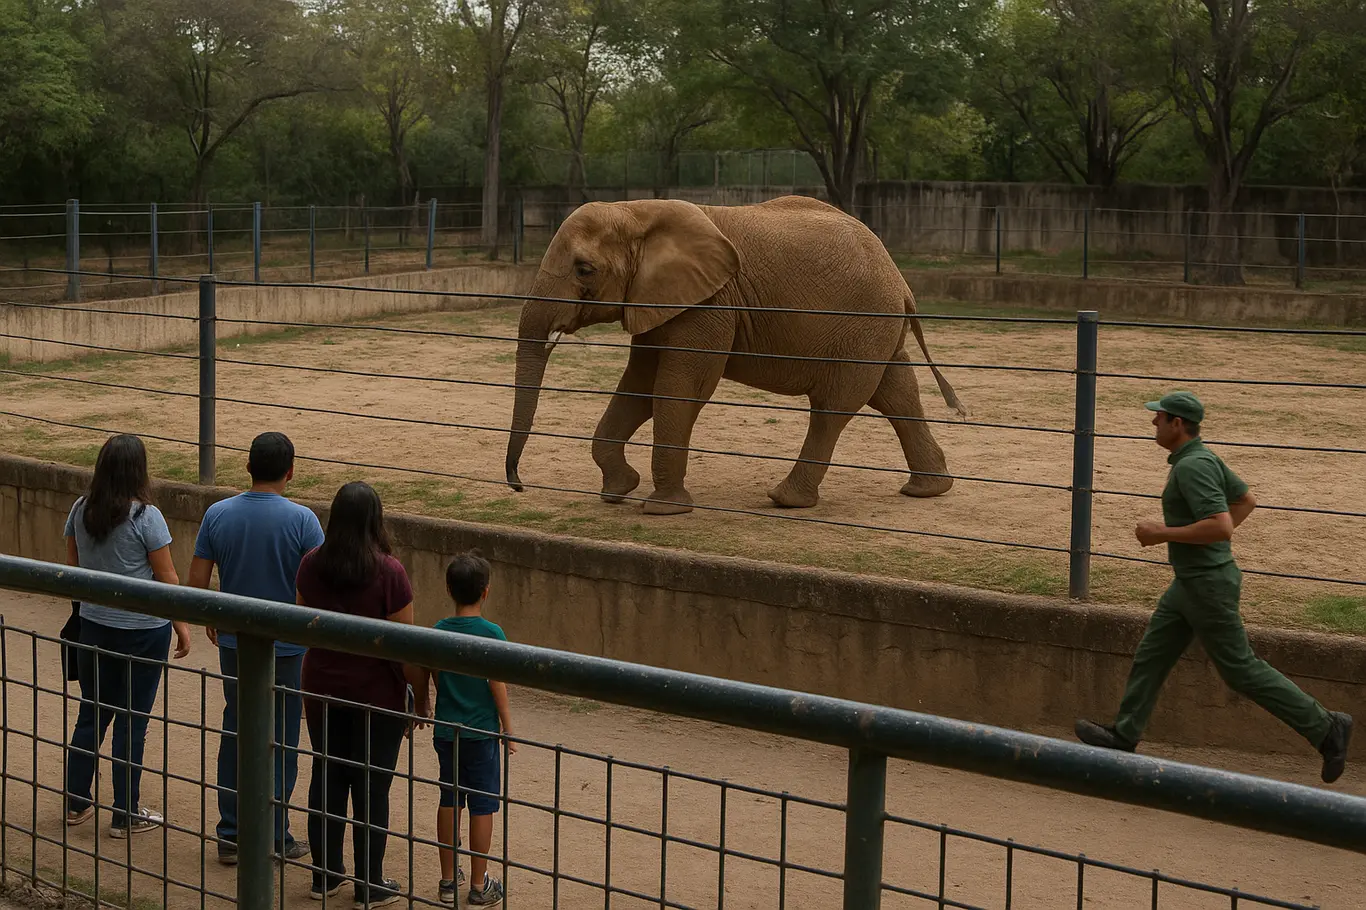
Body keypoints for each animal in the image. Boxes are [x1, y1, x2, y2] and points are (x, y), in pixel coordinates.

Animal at [504, 194, 967, 515]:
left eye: (584, 270)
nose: (518, 485)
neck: (636, 211)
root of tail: (901, 282)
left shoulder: (711, 303)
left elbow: (680, 387)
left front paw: (663, 509)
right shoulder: (657, 299)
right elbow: (640, 384)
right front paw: (617, 491)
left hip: (861, 325)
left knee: (833, 407)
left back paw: (785, 499)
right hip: (876, 330)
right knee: (896, 393)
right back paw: (928, 490)